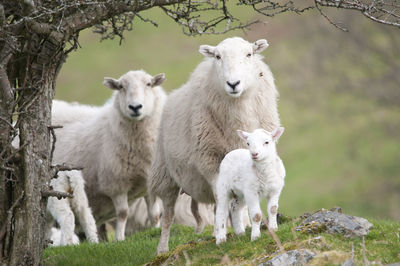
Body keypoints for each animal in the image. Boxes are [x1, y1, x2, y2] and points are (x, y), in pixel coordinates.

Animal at [52, 69, 166, 240]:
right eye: (121, 87)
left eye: (148, 84)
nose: (135, 107)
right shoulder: (115, 183)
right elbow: (123, 213)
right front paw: (120, 239)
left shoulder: (148, 182)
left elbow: (155, 214)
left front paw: (156, 232)